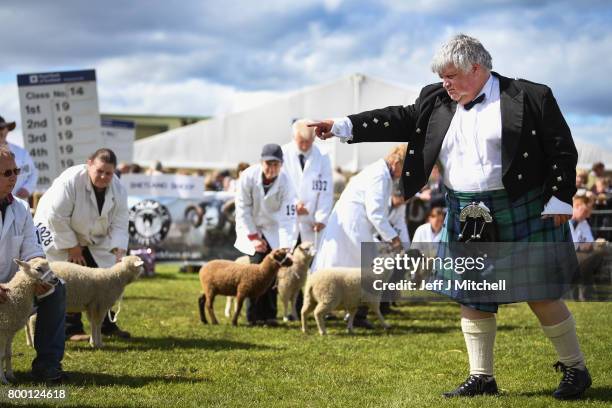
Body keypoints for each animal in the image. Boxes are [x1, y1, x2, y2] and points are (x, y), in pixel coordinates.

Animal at [0, 256, 53, 384]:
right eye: (38, 269)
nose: (55, 279)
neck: (12, 297)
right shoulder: (3, 330)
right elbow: (1, 355)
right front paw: (3, 380)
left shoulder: (10, 331)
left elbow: (8, 354)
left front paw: (11, 376)